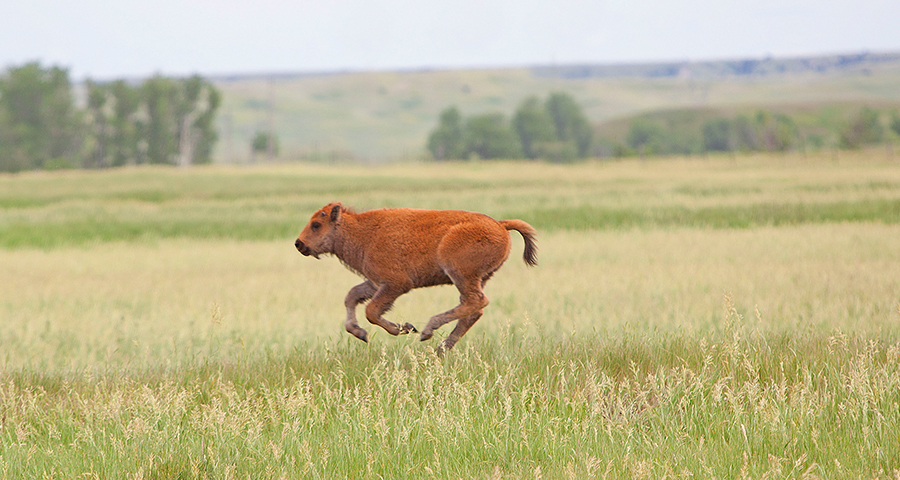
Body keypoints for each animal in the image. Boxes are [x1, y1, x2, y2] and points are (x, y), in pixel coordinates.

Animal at [294, 202, 536, 352]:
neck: (365, 232)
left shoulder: (396, 284)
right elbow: (351, 296)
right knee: (473, 309)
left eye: (316, 224)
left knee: (475, 302)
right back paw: (441, 349)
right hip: (476, 279)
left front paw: (406, 328)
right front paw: (360, 333)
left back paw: (428, 331)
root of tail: (500, 224)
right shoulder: (375, 283)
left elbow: (371, 311)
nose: (299, 244)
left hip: (460, 274)